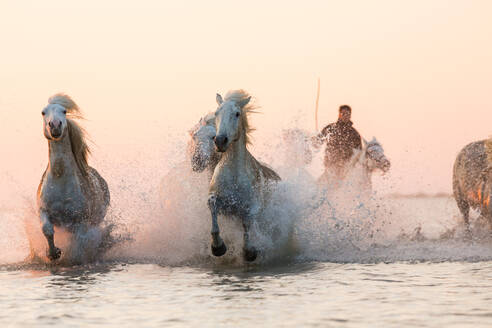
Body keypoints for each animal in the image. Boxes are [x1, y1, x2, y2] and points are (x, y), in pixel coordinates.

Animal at [36, 95, 109, 262]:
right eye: (43, 112)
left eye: (64, 111)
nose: (55, 126)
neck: (60, 178)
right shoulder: (43, 210)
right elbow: (46, 229)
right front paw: (53, 254)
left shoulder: (80, 220)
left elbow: (79, 240)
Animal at [208, 89, 280, 262]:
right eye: (216, 113)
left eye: (237, 113)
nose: (220, 141)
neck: (234, 176)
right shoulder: (222, 203)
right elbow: (213, 209)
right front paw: (218, 247)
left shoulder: (251, 207)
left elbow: (247, 222)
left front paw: (250, 252)